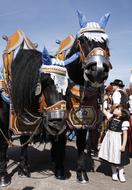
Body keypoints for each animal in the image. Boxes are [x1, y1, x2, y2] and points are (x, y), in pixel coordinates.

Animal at [0, 47, 68, 187]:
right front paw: (4, 176)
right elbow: (4, 145)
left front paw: (23, 168)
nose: (59, 122)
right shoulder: (4, 125)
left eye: (66, 86)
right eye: (46, 81)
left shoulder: (24, 124)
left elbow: (24, 142)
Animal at [64, 11, 112, 183]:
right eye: (82, 40)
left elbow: (80, 143)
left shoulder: (84, 122)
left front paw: (81, 172)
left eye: (106, 42)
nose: (98, 70)